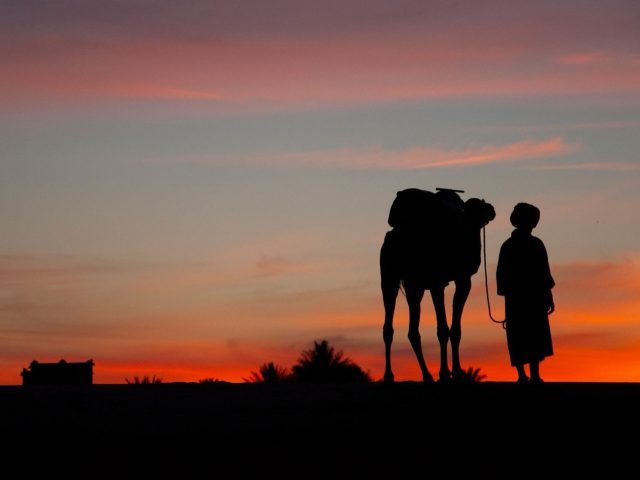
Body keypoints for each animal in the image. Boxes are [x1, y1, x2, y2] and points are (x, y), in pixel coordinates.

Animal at [380, 188, 495, 382]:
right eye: (476, 206)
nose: (491, 210)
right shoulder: (446, 281)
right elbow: (445, 329)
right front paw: (448, 373)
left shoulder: (455, 280)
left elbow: (453, 329)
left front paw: (453, 372)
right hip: (393, 279)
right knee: (396, 326)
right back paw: (396, 374)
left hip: (409, 284)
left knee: (406, 330)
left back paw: (416, 375)